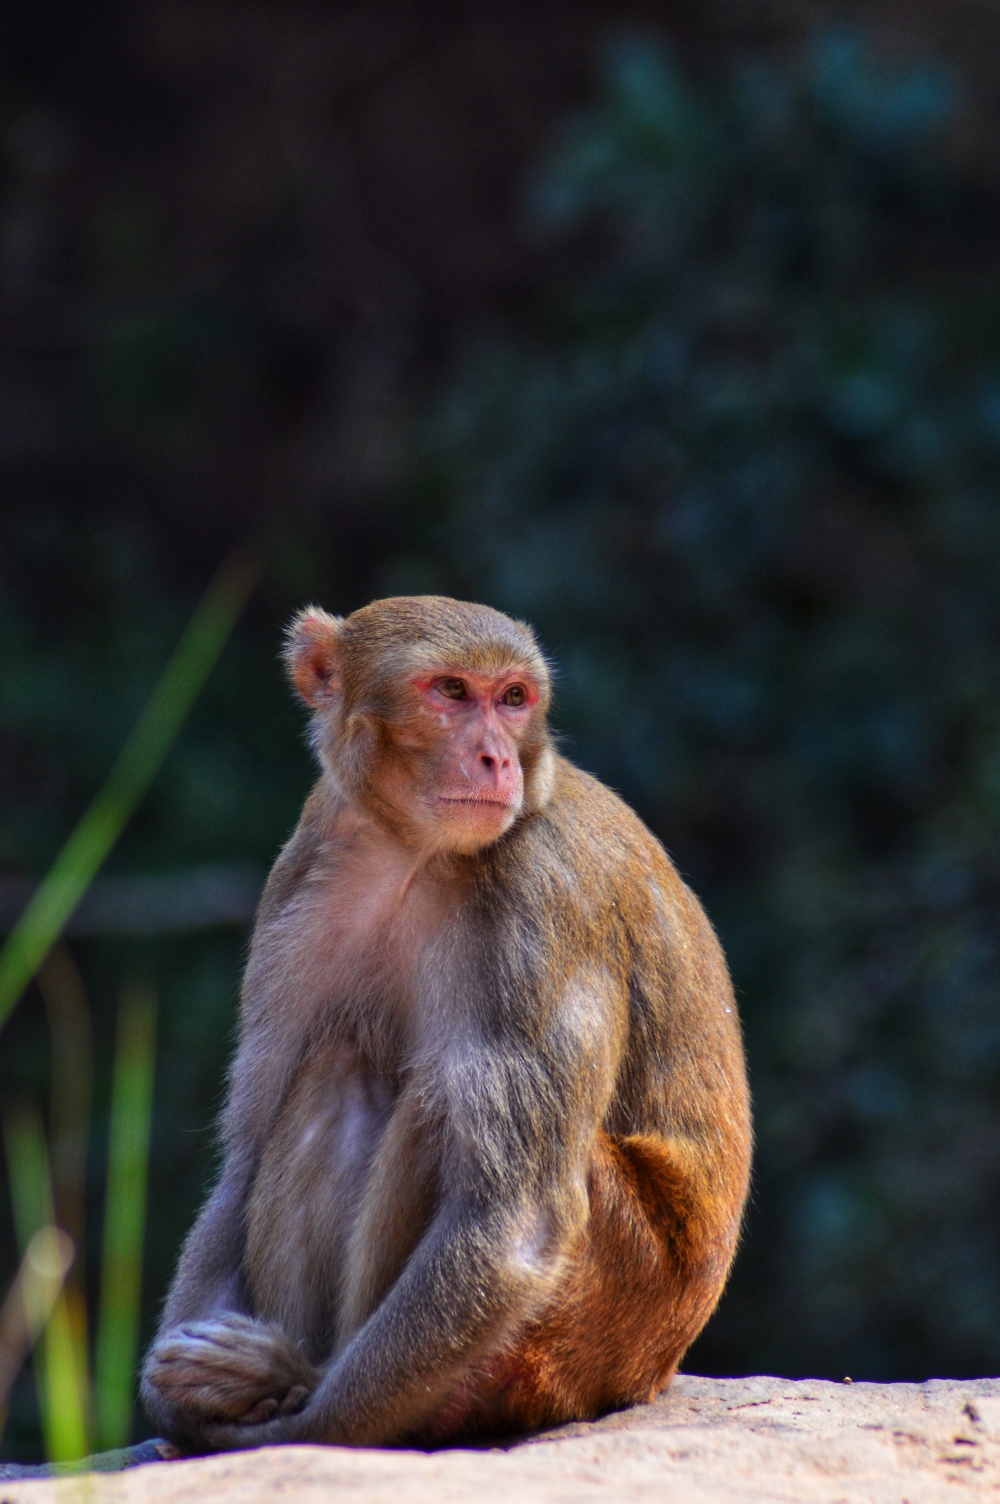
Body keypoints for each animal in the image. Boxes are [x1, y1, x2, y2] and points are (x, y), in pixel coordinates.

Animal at [141, 595, 751, 1453]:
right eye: (453, 692)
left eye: (514, 699)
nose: (497, 760)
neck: (410, 852)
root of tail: (656, 1368)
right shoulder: (297, 887)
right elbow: (245, 1158)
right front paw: (189, 1403)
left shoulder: (541, 897)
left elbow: (518, 1222)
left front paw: (295, 1420)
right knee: (339, 1066)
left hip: (599, 1312)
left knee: (446, 1101)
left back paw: (301, 1378)